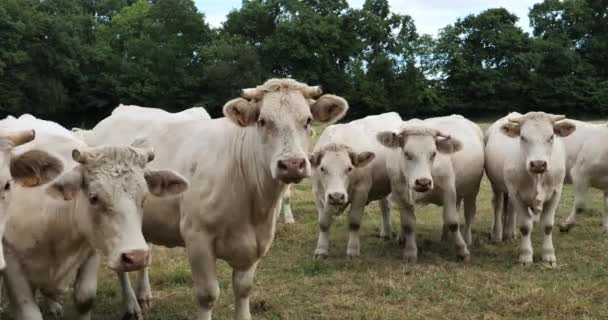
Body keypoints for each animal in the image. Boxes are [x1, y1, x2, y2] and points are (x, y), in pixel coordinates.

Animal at [0, 114, 189, 318]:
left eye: (144, 198)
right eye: (93, 198)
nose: (137, 257)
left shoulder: (91, 251)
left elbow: (85, 298)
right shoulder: (12, 263)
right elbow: (29, 311)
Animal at [79, 78, 350, 320]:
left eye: (307, 121)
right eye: (263, 121)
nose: (292, 164)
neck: (253, 204)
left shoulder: (257, 242)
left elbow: (243, 289)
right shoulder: (197, 237)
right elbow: (208, 295)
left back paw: (144, 295)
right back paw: (131, 305)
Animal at [308, 112, 404, 258]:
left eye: (349, 168)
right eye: (322, 168)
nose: (337, 196)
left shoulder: (361, 191)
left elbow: (354, 222)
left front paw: (353, 250)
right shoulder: (318, 193)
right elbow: (323, 223)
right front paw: (321, 250)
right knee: (384, 207)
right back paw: (386, 233)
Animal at [376, 115, 484, 262]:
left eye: (434, 153)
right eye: (407, 154)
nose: (423, 182)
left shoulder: (448, 190)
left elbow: (452, 221)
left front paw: (462, 251)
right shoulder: (400, 193)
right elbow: (408, 224)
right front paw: (410, 252)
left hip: (472, 189)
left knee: (469, 213)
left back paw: (466, 239)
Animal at [484, 111, 576, 266]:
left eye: (551, 136)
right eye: (522, 137)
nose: (538, 164)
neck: (537, 177)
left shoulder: (556, 193)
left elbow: (548, 225)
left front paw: (548, 255)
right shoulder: (516, 193)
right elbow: (525, 226)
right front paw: (526, 255)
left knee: (510, 209)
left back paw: (509, 233)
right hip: (497, 185)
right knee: (498, 206)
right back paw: (497, 234)